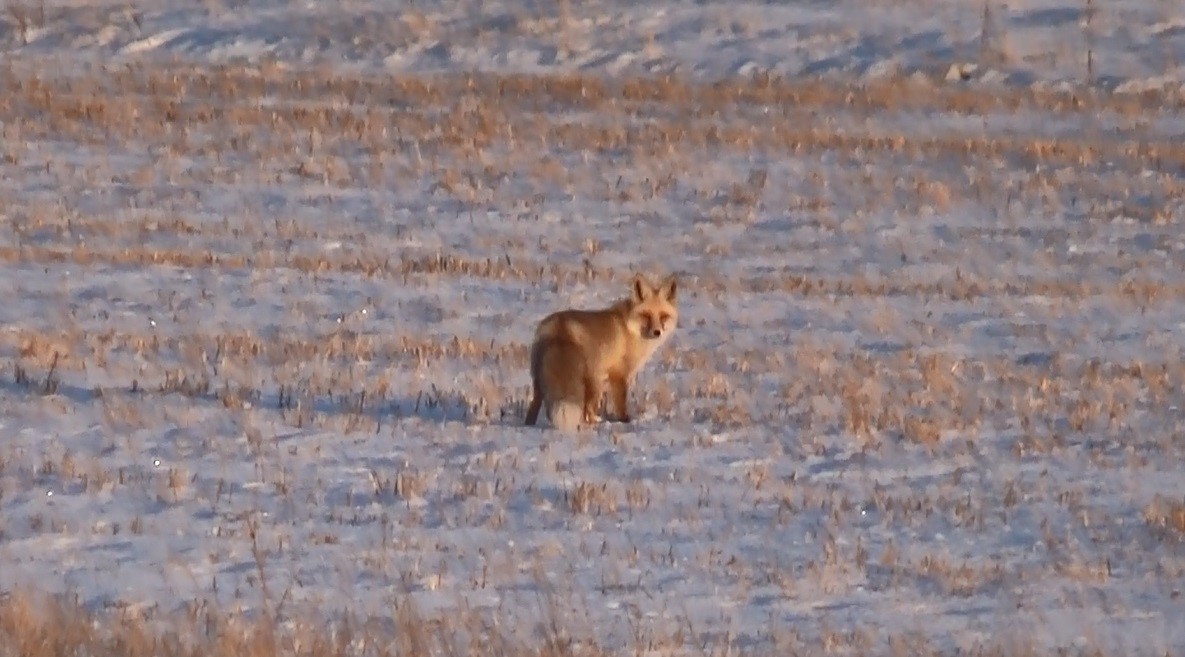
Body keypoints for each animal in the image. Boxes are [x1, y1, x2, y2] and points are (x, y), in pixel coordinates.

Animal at [526, 271, 682, 429]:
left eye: (664, 316)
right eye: (646, 315)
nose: (657, 332)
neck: (631, 329)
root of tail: (558, 327)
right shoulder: (619, 374)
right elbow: (621, 404)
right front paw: (625, 421)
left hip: (540, 380)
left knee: (534, 407)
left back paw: (528, 425)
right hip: (593, 383)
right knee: (586, 412)